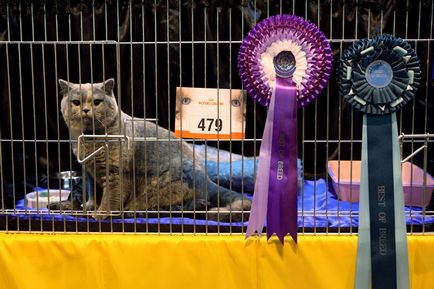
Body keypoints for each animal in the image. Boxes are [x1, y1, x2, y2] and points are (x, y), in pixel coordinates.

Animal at [55, 77, 251, 219]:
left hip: (166, 182)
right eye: (76, 102)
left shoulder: (115, 173)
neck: (89, 140)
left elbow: (110, 197)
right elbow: (93, 192)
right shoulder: (90, 172)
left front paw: (100, 215)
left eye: (96, 102)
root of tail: (208, 180)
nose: (86, 109)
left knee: (174, 206)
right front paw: (89, 207)